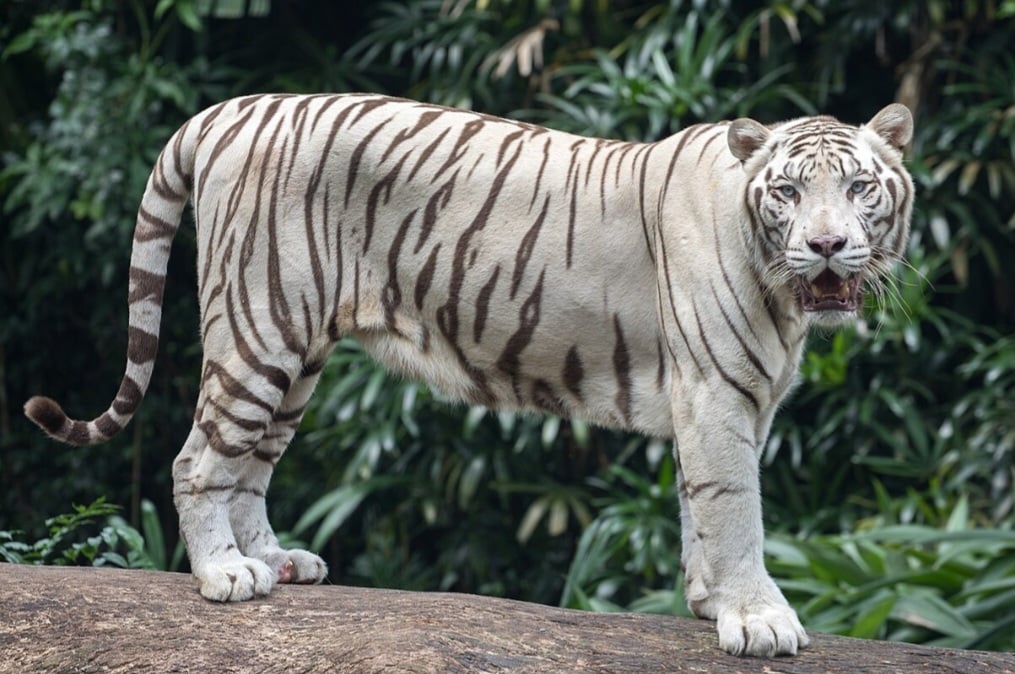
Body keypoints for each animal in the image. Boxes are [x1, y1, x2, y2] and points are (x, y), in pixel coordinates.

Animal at [24, 93, 914, 657]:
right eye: (788, 192)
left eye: (858, 188)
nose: (827, 247)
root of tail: (227, 111)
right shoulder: (716, 393)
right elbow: (735, 509)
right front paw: (757, 620)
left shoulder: (725, 401)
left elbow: (700, 506)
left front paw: (707, 603)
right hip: (259, 328)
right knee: (199, 459)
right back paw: (224, 575)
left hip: (297, 352)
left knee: (250, 466)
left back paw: (276, 562)